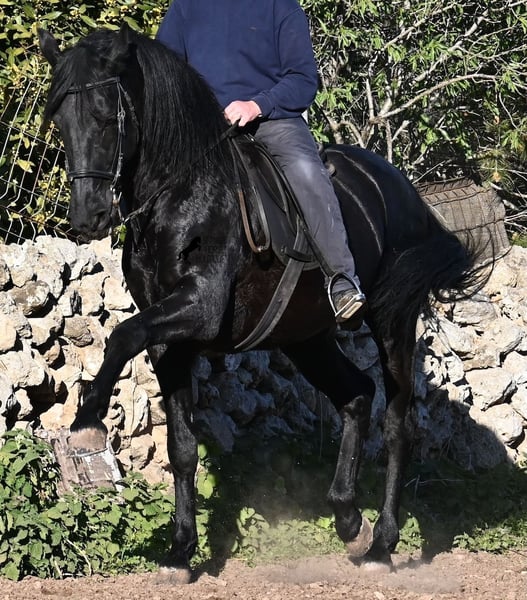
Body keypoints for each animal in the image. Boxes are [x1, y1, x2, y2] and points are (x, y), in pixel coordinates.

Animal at [38, 24, 484, 578]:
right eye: (60, 119)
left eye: (103, 115)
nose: (87, 217)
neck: (184, 196)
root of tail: (404, 192)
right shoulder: (169, 340)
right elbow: (181, 448)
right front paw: (181, 552)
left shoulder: (198, 311)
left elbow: (121, 335)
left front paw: (87, 419)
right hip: (306, 336)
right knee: (357, 395)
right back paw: (347, 520)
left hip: (391, 321)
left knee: (397, 425)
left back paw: (382, 544)